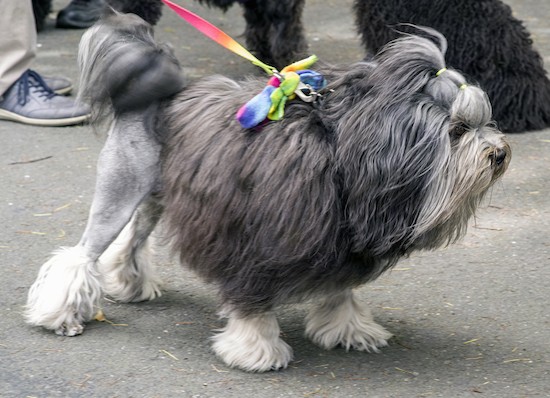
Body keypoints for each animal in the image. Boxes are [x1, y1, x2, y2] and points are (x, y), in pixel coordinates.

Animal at [23, 13, 512, 374]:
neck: (343, 151)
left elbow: (341, 291)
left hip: (154, 197)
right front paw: (255, 349)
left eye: (486, 121)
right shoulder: (255, 243)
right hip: (121, 189)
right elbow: (253, 302)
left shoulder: (340, 241)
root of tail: (161, 92)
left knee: (130, 242)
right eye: (457, 130)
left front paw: (349, 328)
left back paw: (129, 284)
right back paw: (60, 315)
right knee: (80, 255)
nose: (500, 153)